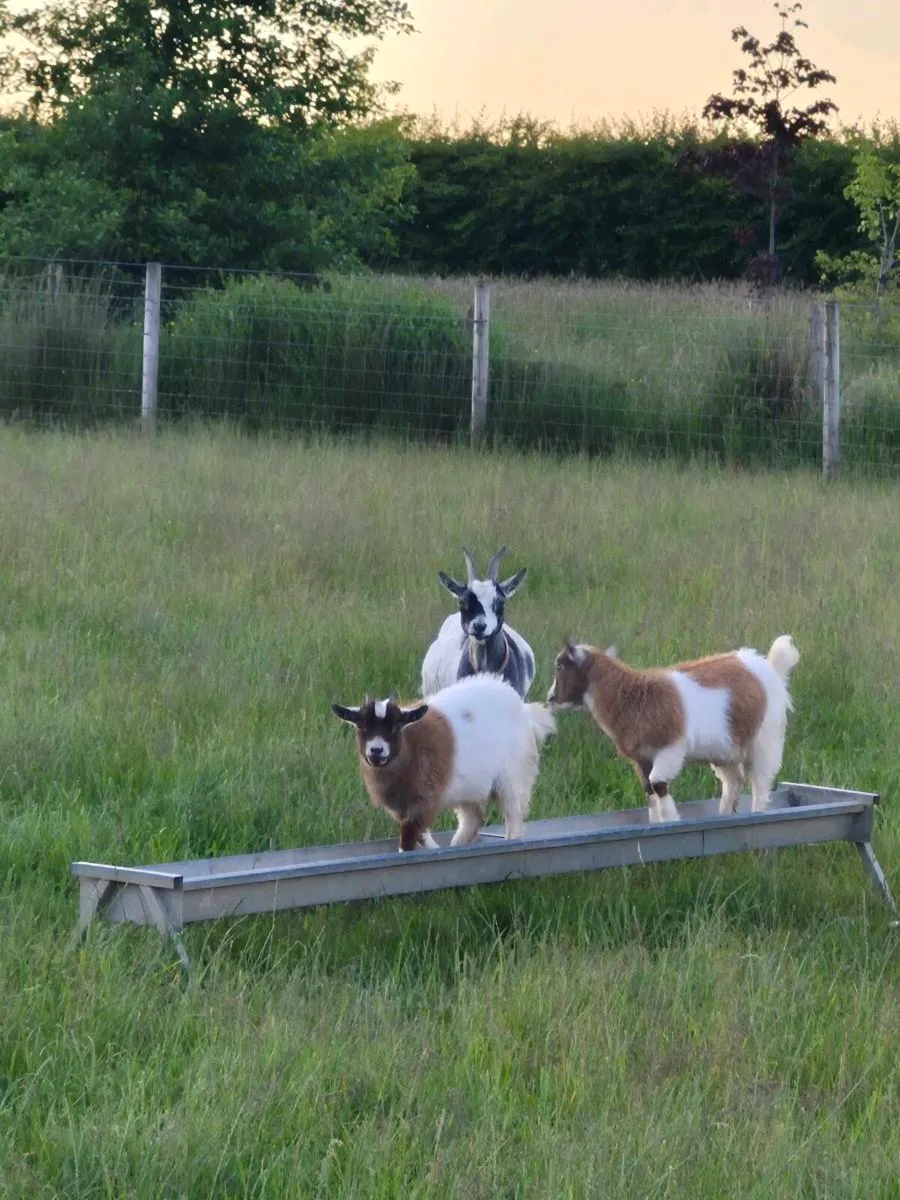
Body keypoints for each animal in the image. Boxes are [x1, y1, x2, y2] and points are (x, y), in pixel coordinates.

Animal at [332, 674, 556, 851]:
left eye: (397, 726)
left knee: (513, 817)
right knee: (473, 817)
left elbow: (409, 837)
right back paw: (457, 845)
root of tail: (525, 711)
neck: (411, 746)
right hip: (470, 788)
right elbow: (420, 834)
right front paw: (434, 849)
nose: (376, 751)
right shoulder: (405, 806)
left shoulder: (423, 798)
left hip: (514, 779)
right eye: (361, 726)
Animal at [547, 635, 799, 823]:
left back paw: (756, 813)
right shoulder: (641, 758)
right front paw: (656, 823)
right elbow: (649, 789)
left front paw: (671, 820)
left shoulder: (670, 749)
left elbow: (658, 782)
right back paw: (724, 814)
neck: (633, 697)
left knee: (760, 781)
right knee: (733, 781)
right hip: (726, 748)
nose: (550, 698)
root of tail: (769, 667)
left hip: (765, 738)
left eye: (560, 666)